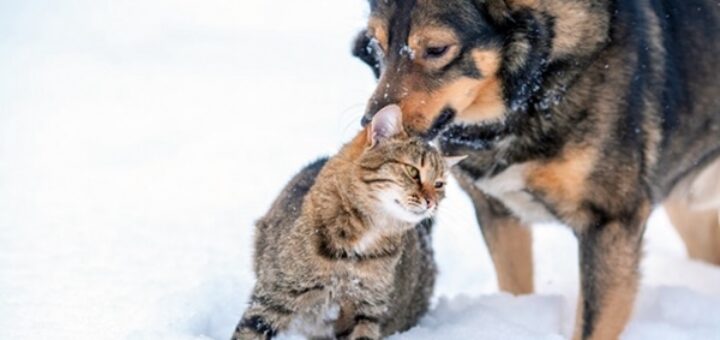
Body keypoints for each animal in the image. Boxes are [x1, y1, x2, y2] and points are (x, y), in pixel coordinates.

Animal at [233, 105, 464, 338]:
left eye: (439, 184)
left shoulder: (366, 310)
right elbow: (250, 330)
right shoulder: (275, 297)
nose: (431, 202)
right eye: (413, 171)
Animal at [352, 0, 720, 338]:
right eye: (377, 45)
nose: (369, 125)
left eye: (436, 49)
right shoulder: (497, 213)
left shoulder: (609, 223)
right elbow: (515, 286)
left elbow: (591, 325)